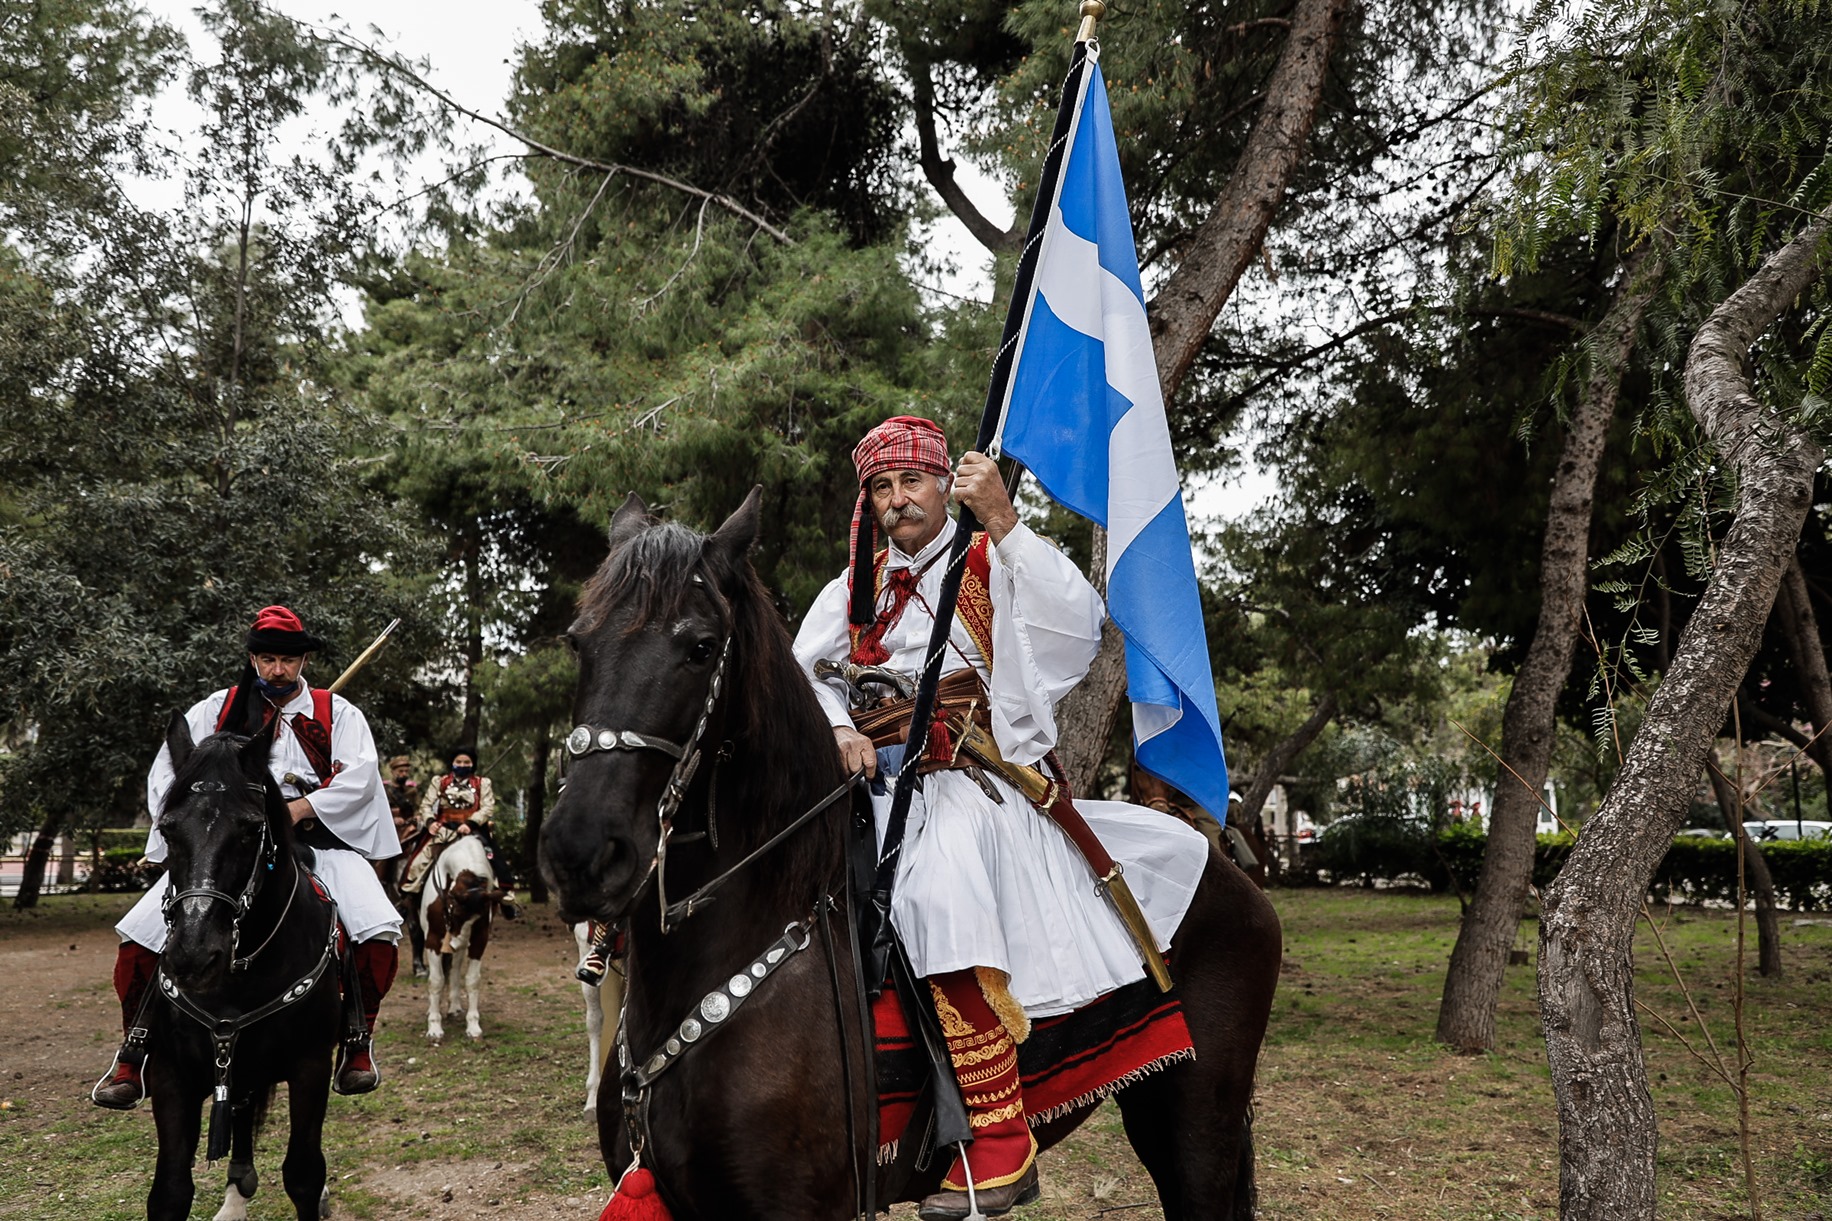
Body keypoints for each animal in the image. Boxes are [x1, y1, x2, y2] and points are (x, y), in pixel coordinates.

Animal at [143, 707, 344, 1210]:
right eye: (167, 829)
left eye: (251, 829)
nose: (195, 955)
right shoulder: (170, 1072)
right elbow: (170, 1189)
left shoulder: (311, 1066)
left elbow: (304, 1174)